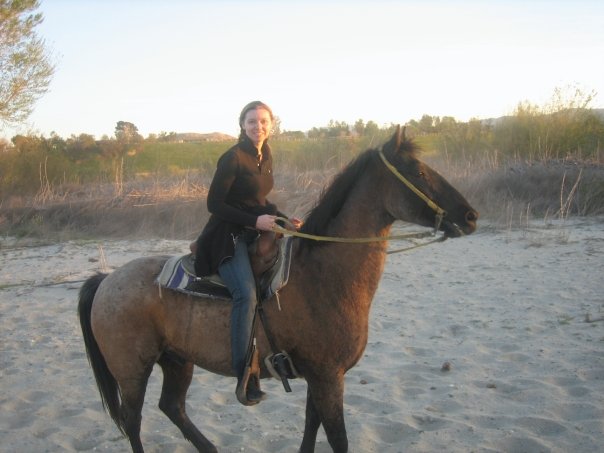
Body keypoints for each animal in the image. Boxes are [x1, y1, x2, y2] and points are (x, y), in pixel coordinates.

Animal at [79, 126, 476, 452]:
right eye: (419, 172)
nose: (470, 216)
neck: (323, 276)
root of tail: (107, 280)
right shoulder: (328, 377)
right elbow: (337, 438)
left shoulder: (321, 376)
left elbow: (311, 427)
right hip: (132, 369)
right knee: (133, 421)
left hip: (177, 360)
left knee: (171, 407)